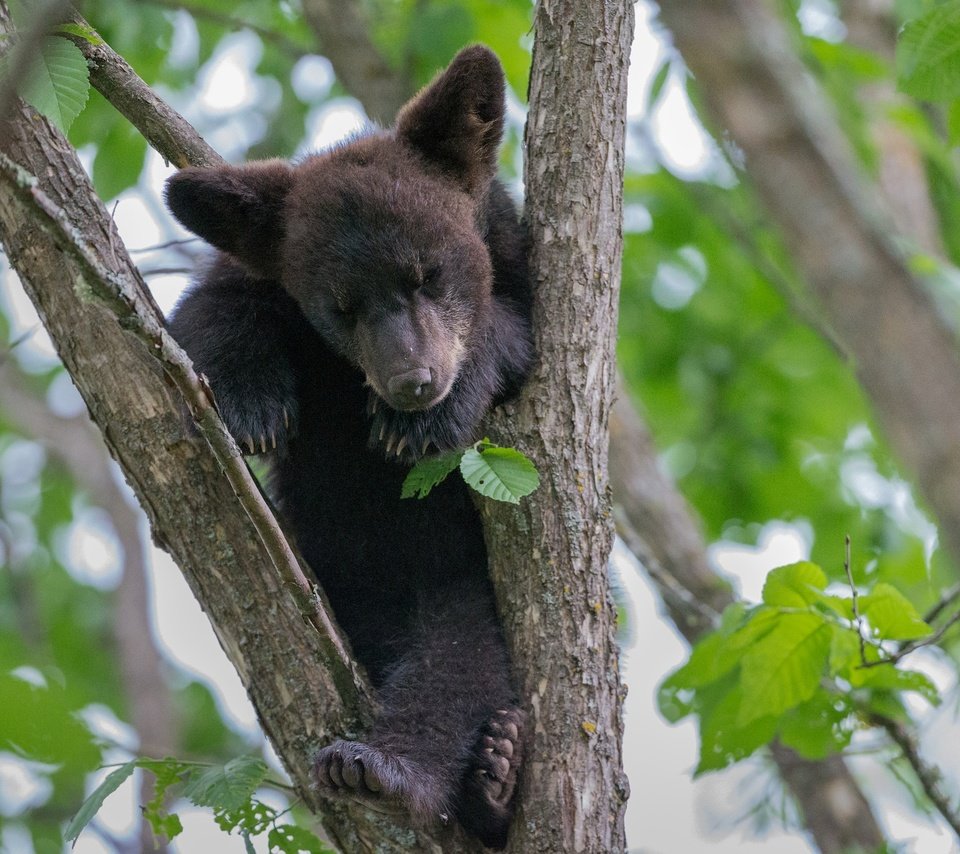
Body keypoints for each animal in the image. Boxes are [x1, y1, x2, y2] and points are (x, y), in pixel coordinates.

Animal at [169, 46, 536, 848]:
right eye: (342, 305)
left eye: (428, 274)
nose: (412, 381)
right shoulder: (255, 270)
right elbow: (209, 311)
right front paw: (253, 403)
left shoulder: (521, 268)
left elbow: (515, 336)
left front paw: (426, 421)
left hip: (464, 585)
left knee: (459, 662)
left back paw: (434, 772)